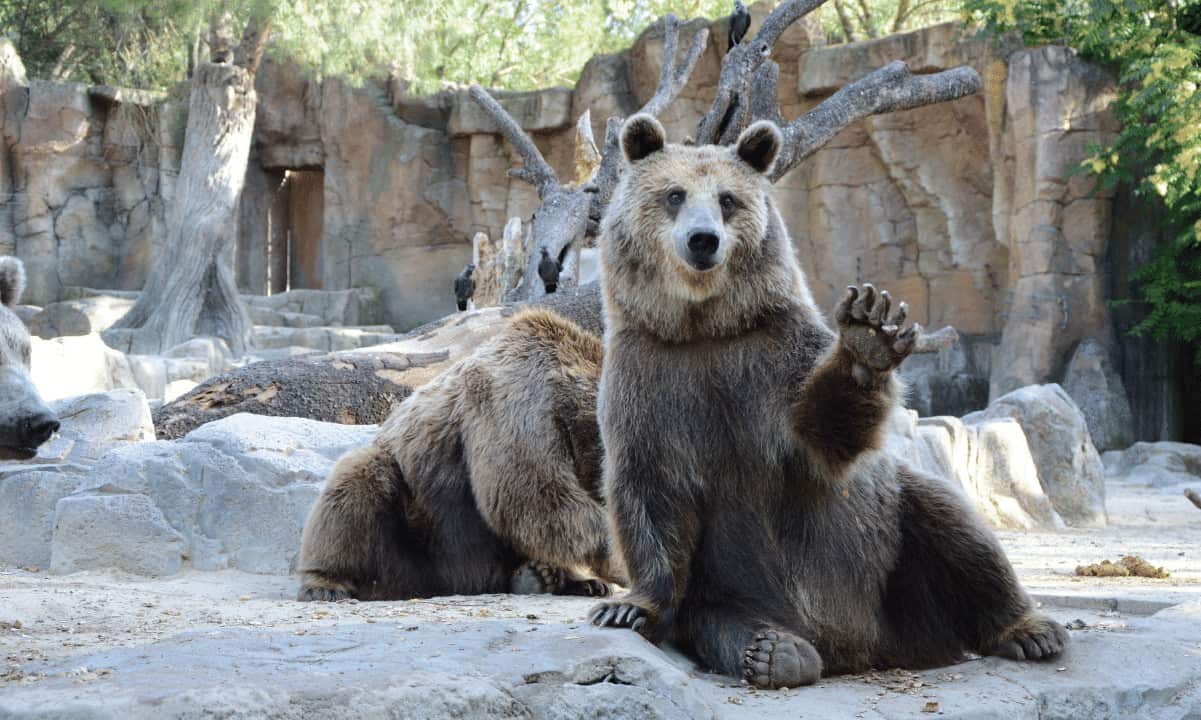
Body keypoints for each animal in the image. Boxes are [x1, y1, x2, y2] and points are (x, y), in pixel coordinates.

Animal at [296, 309, 624, 602]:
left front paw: (588, 577)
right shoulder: (518, 403)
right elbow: (531, 494)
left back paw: (556, 578)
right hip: (417, 535)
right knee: (357, 482)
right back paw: (326, 584)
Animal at [586, 115, 1066, 691]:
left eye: (727, 199)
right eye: (674, 195)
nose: (703, 241)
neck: (704, 328)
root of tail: (862, 648)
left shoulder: (772, 360)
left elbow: (824, 436)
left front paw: (868, 334)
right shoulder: (650, 380)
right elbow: (648, 487)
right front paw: (628, 607)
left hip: (893, 555)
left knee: (956, 529)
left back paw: (1030, 629)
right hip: (727, 588)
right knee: (723, 621)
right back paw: (776, 652)